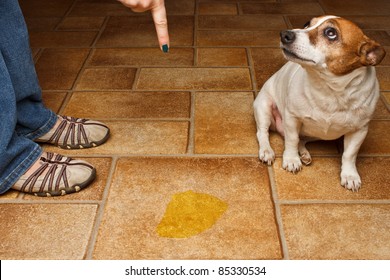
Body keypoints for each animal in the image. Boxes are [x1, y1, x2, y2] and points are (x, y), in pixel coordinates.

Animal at [254, 14, 386, 190]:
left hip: (316, 135)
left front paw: (350, 175)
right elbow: (291, 139)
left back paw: (303, 153)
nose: (285, 34)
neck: (329, 89)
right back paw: (267, 151)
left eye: (331, 33)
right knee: (263, 133)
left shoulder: (360, 130)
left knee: (301, 139)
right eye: (306, 24)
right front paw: (291, 159)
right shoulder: (292, 118)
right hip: (264, 107)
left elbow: (349, 154)